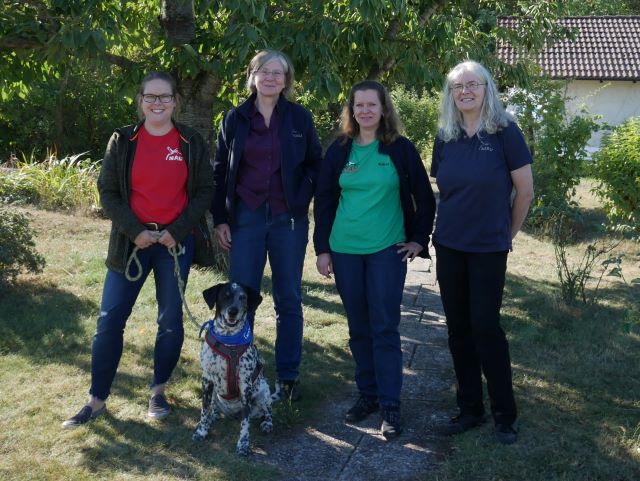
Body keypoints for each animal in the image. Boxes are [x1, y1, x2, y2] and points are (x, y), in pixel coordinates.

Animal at [189, 284, 272, 456]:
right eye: (225, 296)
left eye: (243, 297)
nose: (233, 311)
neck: (228, 339)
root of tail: (232, 414)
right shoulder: (207, 380)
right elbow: (204, 410)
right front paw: (201, 431)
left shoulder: (245, 386)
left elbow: (245, 423)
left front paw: (243, 445)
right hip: (215, 394)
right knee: (213, 410)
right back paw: (212, 417)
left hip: (264, 392)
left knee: (268, 412)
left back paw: (267, 424)